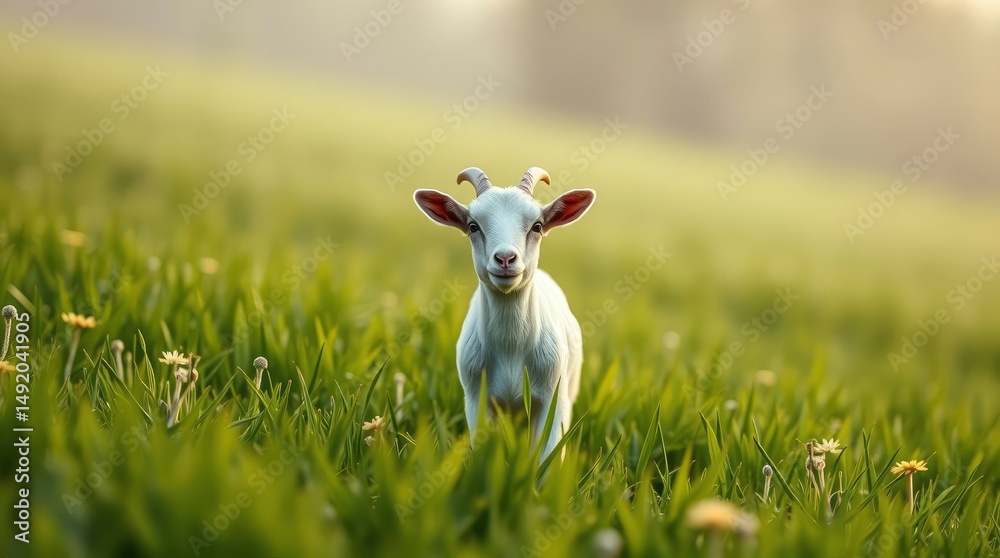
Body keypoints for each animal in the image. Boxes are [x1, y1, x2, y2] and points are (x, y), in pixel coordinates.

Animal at [413, 167, 596, 462]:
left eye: (537, 226)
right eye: (473, 226)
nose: (506, 259)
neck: (511, 346)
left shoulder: (553, 398)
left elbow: (547, 458)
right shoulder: (476, 398)